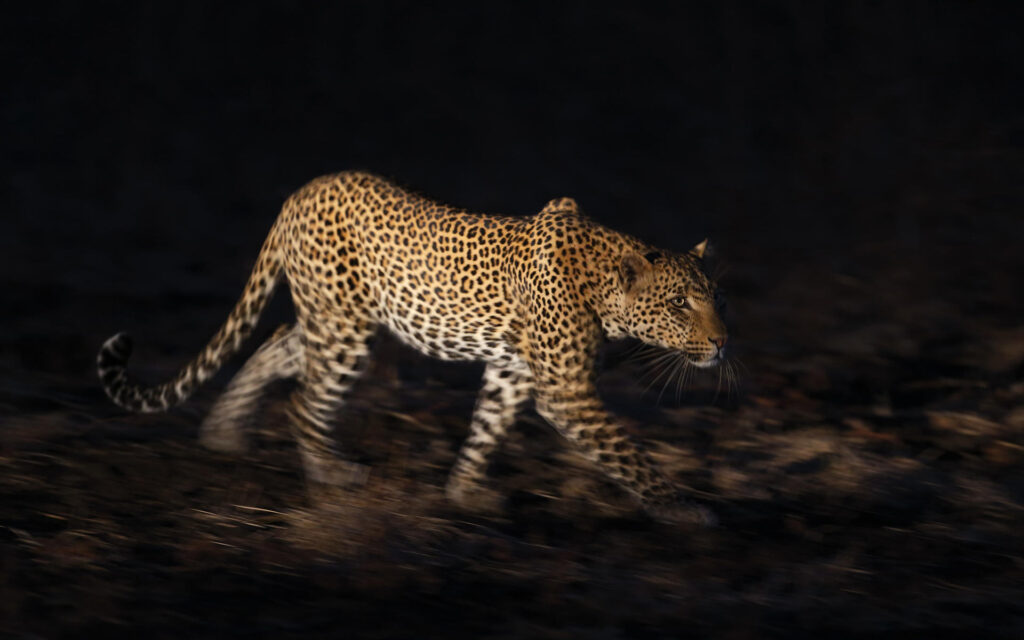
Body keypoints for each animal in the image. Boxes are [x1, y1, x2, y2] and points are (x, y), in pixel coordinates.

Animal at [99, 171, 729, 524]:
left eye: (715, 297)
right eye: (680, 305)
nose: (723, 344)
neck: (605, 287)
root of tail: (301, 193)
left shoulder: (515, 370)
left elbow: (487, 427)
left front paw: (464, 493)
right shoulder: (566, 390)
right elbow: (626, 452)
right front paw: (684, 507)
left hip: (334, 317)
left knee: (277, 344)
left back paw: (224, 431)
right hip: (344, 328)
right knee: (304, 400)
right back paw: (332, 473)